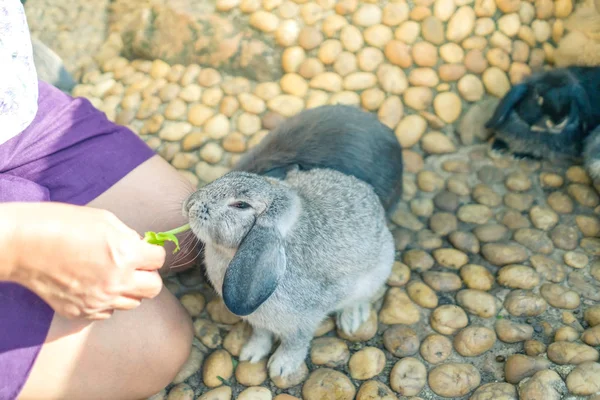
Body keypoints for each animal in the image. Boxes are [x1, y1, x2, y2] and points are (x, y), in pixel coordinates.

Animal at [183, 104, 398, 378]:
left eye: (241, 205)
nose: (189, 204)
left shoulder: (304, 321)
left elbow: (296, 342)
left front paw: (281, 368)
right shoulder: (259, 320)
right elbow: (261, 335)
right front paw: (250, 355)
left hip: (376, 272)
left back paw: (352, 319)